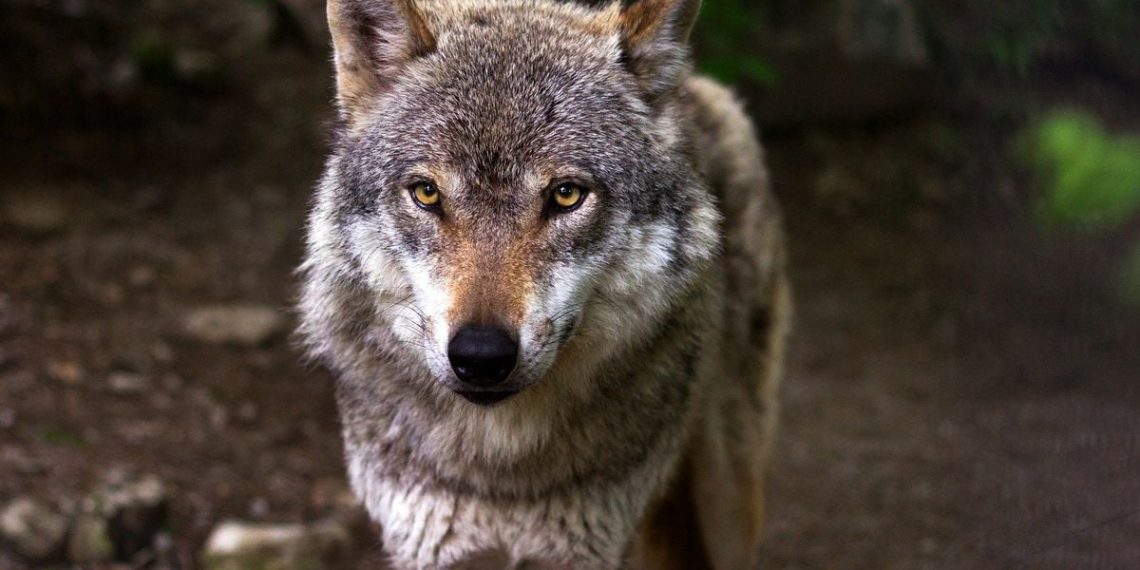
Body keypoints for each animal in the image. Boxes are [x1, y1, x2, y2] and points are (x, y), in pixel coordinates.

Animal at [297, 0, 790, 567]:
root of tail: (699, 86)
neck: (502, 473)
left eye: (566, 195)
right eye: (426, 193)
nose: (481, 355)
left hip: (727, 502)